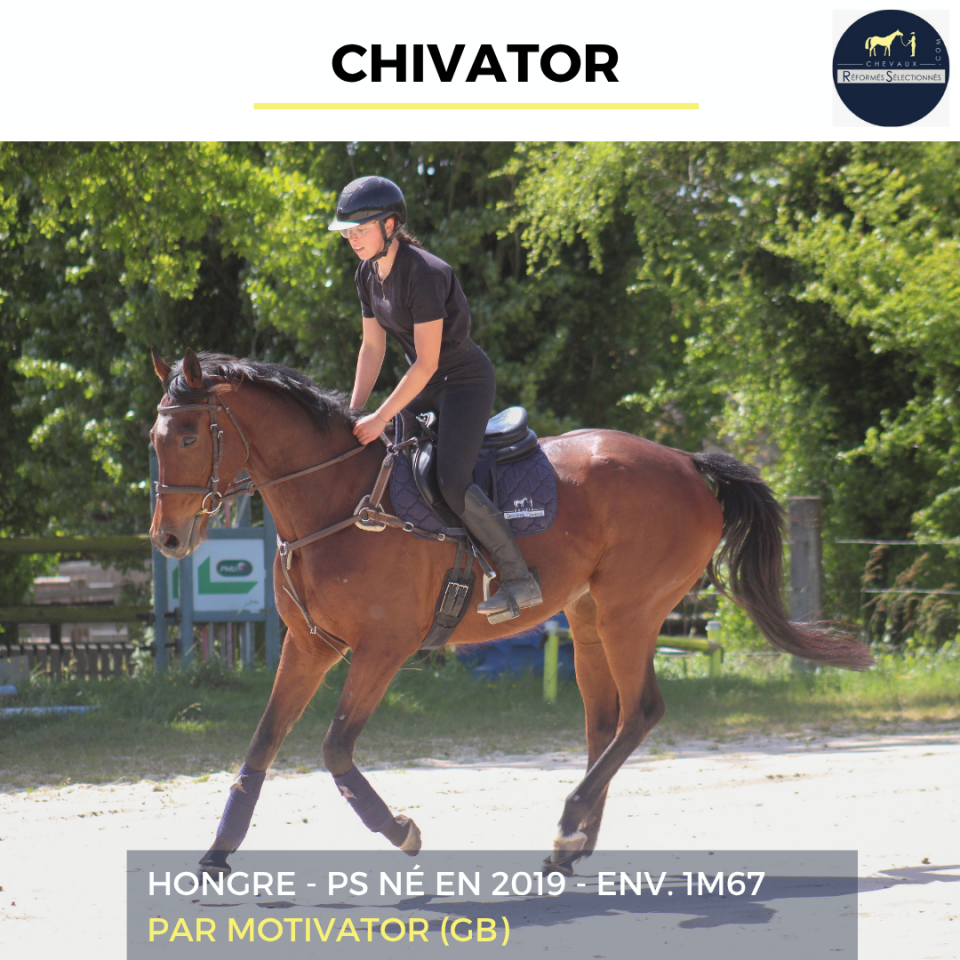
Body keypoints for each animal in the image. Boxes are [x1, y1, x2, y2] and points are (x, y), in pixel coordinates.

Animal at [148, 349, 871, 875]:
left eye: (185, 436)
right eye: (155, 437)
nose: (168, 539)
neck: (334, 499)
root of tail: (686, 461)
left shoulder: (381, 649)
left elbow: (334, 749)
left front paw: (401, 829)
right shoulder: (309, 646)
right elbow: (262, 743)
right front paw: (217, 851)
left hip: (629, 611)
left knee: (640, 713)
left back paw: (570, 821)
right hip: (587, 619)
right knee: (604, 721)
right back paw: (572, 843)